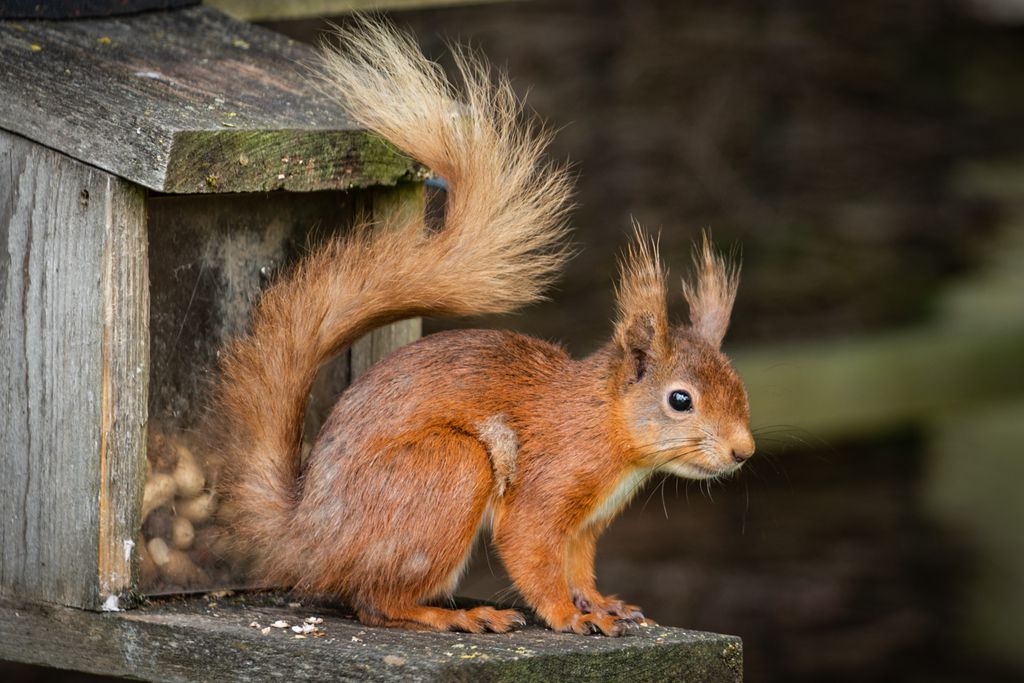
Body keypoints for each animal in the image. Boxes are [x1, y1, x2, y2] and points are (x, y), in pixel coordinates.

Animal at [218, 18, 753, 638]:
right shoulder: (549, 487)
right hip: (450, 471)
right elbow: (532, 554)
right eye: (680, 400)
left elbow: (579, 567)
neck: (605, 426)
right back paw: (462, 615)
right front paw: (569, 616)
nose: (744, 451)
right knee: (376, 601)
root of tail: (304, 540)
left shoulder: (586, 527)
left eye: (740, 388)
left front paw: (603, 603)